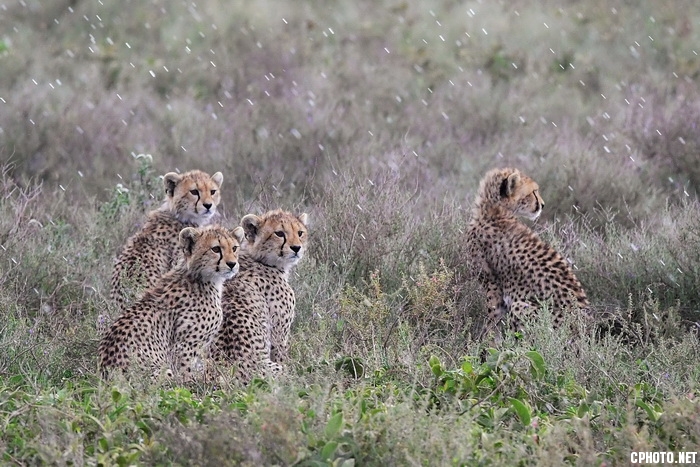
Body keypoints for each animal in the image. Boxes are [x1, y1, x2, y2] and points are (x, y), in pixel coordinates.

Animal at [99, 225, 244, 381]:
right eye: (216, 249)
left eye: (234, 248)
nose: (232, 264)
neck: (200, 278)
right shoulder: (183, 347)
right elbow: (186, 377)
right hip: (162, 371)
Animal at [465, 167, 590, 338]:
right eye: (533, 192)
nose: (543, 205)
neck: (495, 210)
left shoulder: (492, 284)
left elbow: (491, 319)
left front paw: (482, 341)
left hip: (520, 306)